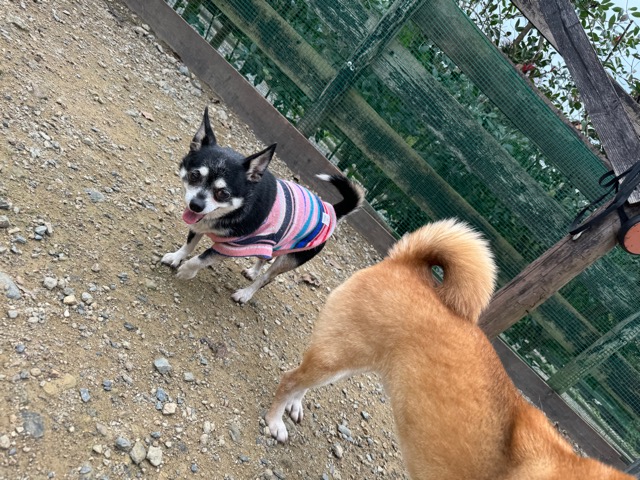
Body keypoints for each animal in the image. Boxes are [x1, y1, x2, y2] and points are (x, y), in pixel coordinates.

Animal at [162, 107, 363, 304]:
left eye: (223, 193)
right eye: (194, 176)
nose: (195, 205)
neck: (232, 211)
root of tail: (331, 209)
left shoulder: (232, 248)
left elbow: (201, 258)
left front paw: (186, 270)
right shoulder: (200, 225)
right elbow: (189, 245)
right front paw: (176, 257)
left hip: (288, 258)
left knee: (267, 278)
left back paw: (245, 293)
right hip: (273, 242)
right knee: (264, 258)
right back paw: (253, 271)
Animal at [265, 219, 632, 480]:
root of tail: (409, 265)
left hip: (345, 360)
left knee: (302, 381)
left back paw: (294, 407)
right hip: (339, 354)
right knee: (288, 379)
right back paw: (275, 423)